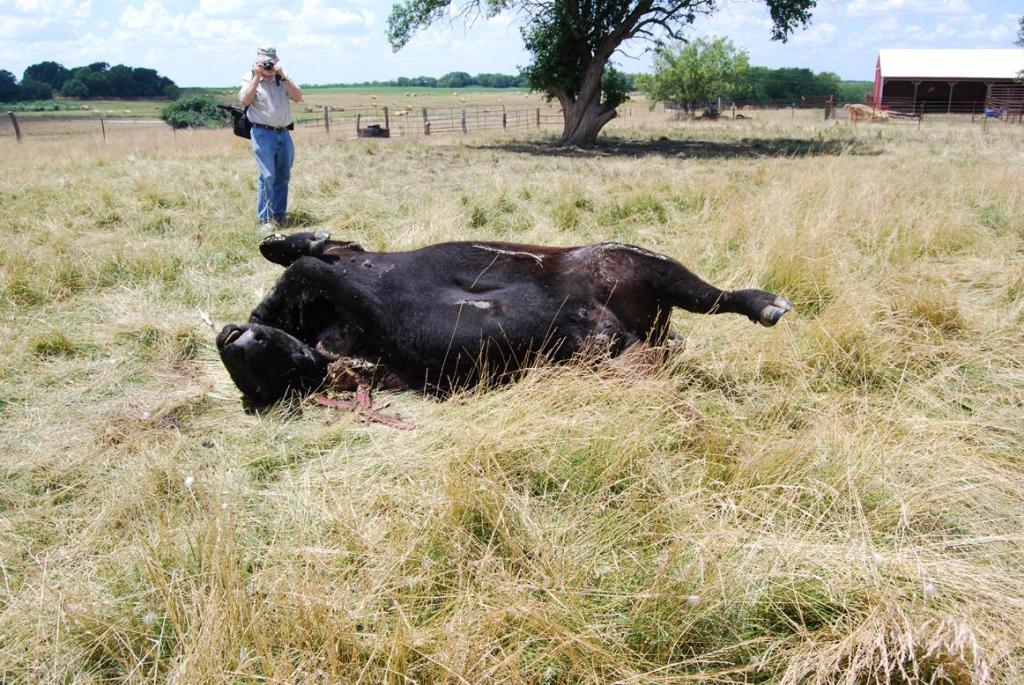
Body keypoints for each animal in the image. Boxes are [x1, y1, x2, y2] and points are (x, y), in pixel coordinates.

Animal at [214, 232, 790, 403]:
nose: (229, 337)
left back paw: (765, 302)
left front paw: (302, 238)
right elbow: (309, 267)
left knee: (721, 296)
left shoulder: (346, 259)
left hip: (637, 261)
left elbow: (297, 256)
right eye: (266, 375)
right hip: (646, 302)